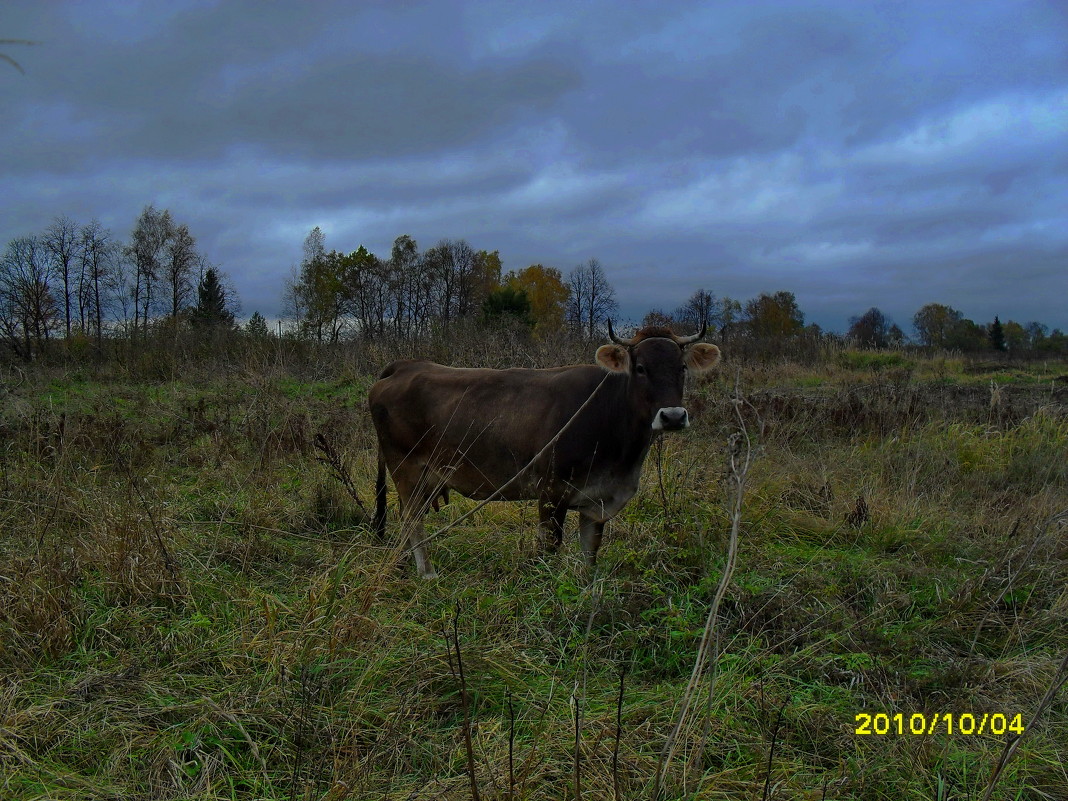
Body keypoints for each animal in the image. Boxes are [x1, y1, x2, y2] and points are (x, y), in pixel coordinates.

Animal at [371, 322, 721, 580]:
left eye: (682, 368)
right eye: (640, 368)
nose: (673, 416)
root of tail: (405, 366)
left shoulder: (597, 500)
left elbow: (590, 553)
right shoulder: (552, 491)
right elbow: (549, 548)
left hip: (428, 477)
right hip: (406, 467)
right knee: (411, 518)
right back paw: (427, 572)